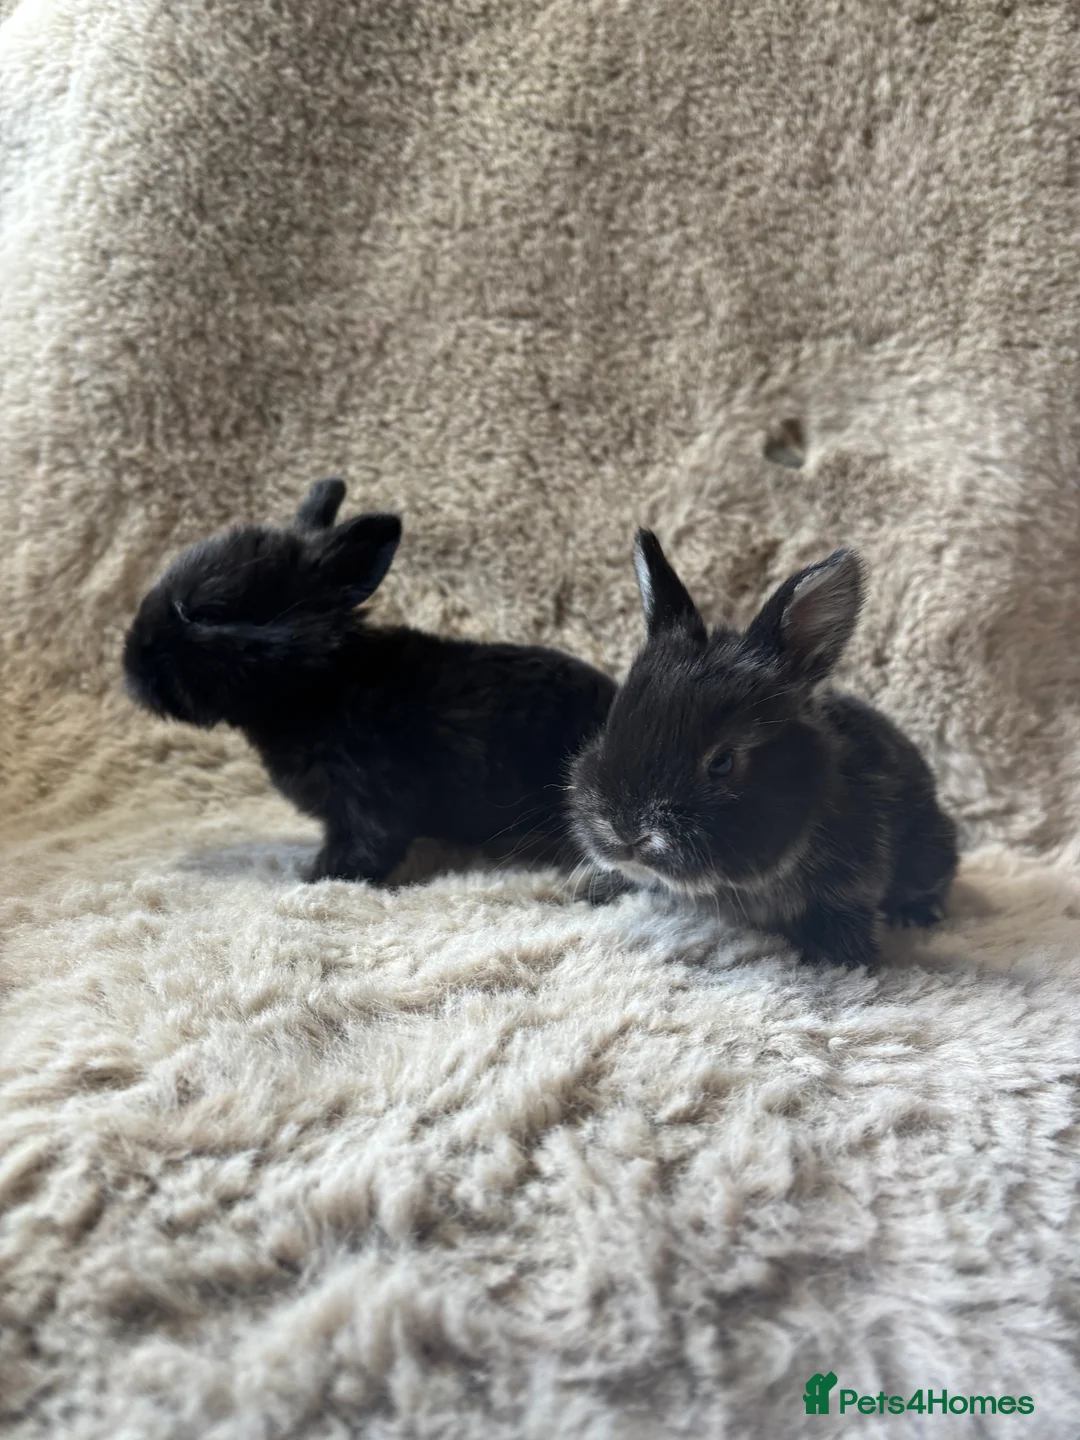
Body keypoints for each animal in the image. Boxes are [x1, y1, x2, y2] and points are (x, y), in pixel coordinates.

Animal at [123, 479, 616, 883]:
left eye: (203, 613)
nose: (129, 666)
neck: (320, 685)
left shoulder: (367, 796)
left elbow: (369, 844)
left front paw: (319, 874)